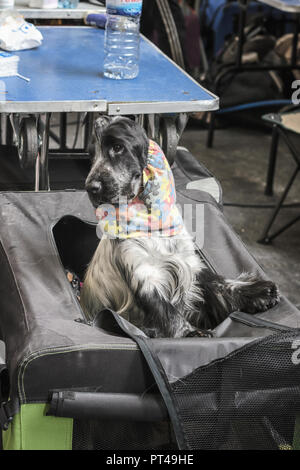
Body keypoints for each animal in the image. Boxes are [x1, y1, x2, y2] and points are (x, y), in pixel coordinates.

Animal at [80, 116, 282, 338]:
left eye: (117, 147)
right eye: (93, 155)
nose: (91, 188)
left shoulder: (189, 262)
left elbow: (219, 284)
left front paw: (259, 293)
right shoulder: (145, 275)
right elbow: (166, 310)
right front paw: (192, 333)